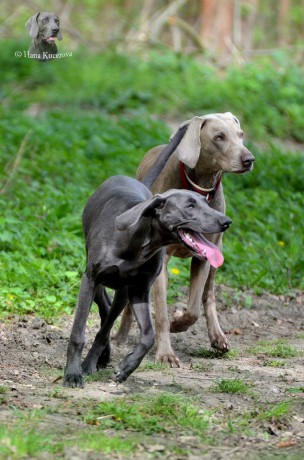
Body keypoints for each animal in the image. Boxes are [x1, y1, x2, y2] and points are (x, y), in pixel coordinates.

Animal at [63, 146, 230, 386]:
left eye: (207, 203)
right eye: (190, 206)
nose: (226, 222)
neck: (138, 243)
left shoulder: (139, 290)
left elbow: (149, 335)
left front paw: (127, 366)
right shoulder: (91, 279)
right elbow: (78, 332)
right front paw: (73, 374)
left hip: (124, 292)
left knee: (107, 320)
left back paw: (96, 360)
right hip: (95, 277)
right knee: (103, 304)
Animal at [116, 114, 254, 366]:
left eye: (240, 135)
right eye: (219, 137)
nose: (249, 159)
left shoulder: (204, 256)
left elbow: (193, 309)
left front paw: (177, 323)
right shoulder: (160, 260)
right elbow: (160, 311)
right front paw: (166, 353)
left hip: (218, 253)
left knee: (208, 295)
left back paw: (217, 336)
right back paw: (120, 337)